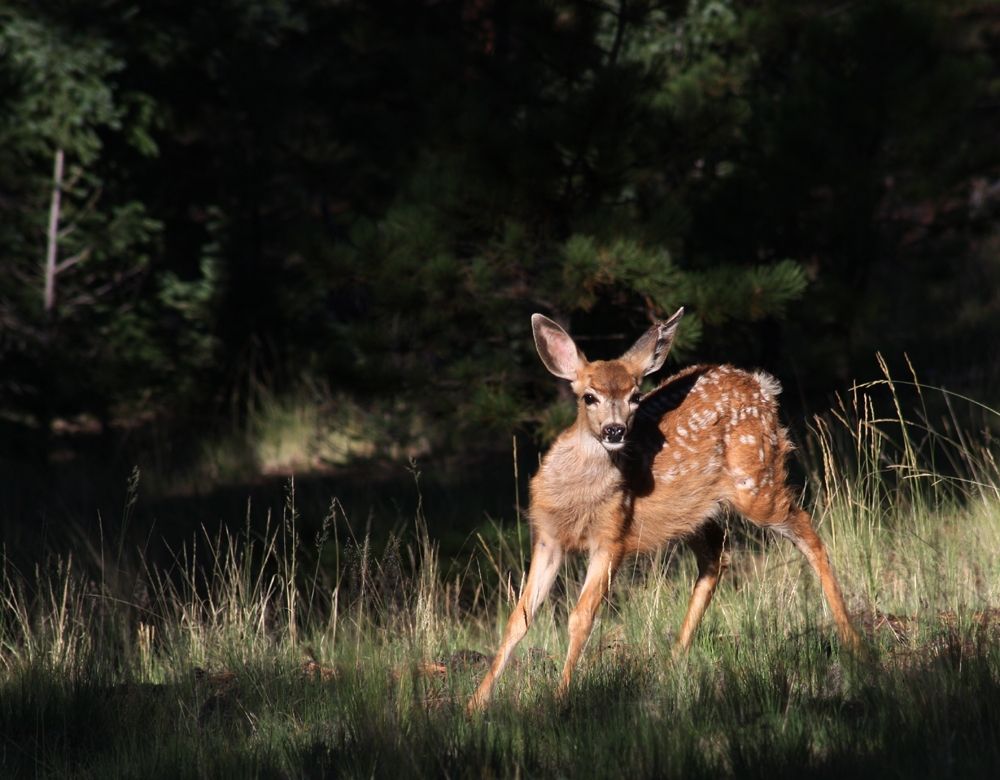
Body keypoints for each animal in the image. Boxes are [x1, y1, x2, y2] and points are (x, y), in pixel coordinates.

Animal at [467, 307, 860, 712]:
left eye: (635, 396)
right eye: (589, 396)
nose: (614, 430)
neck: (578, 499)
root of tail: (762, 386)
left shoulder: (612, 537)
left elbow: (581, 617)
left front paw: (561, 698)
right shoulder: (548, 538)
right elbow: (519, 617)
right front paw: (475, 703)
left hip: (757, 480)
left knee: (807, 531)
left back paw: (854, 643)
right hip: (696, 512)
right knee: (716, 558)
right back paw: (672, 662)